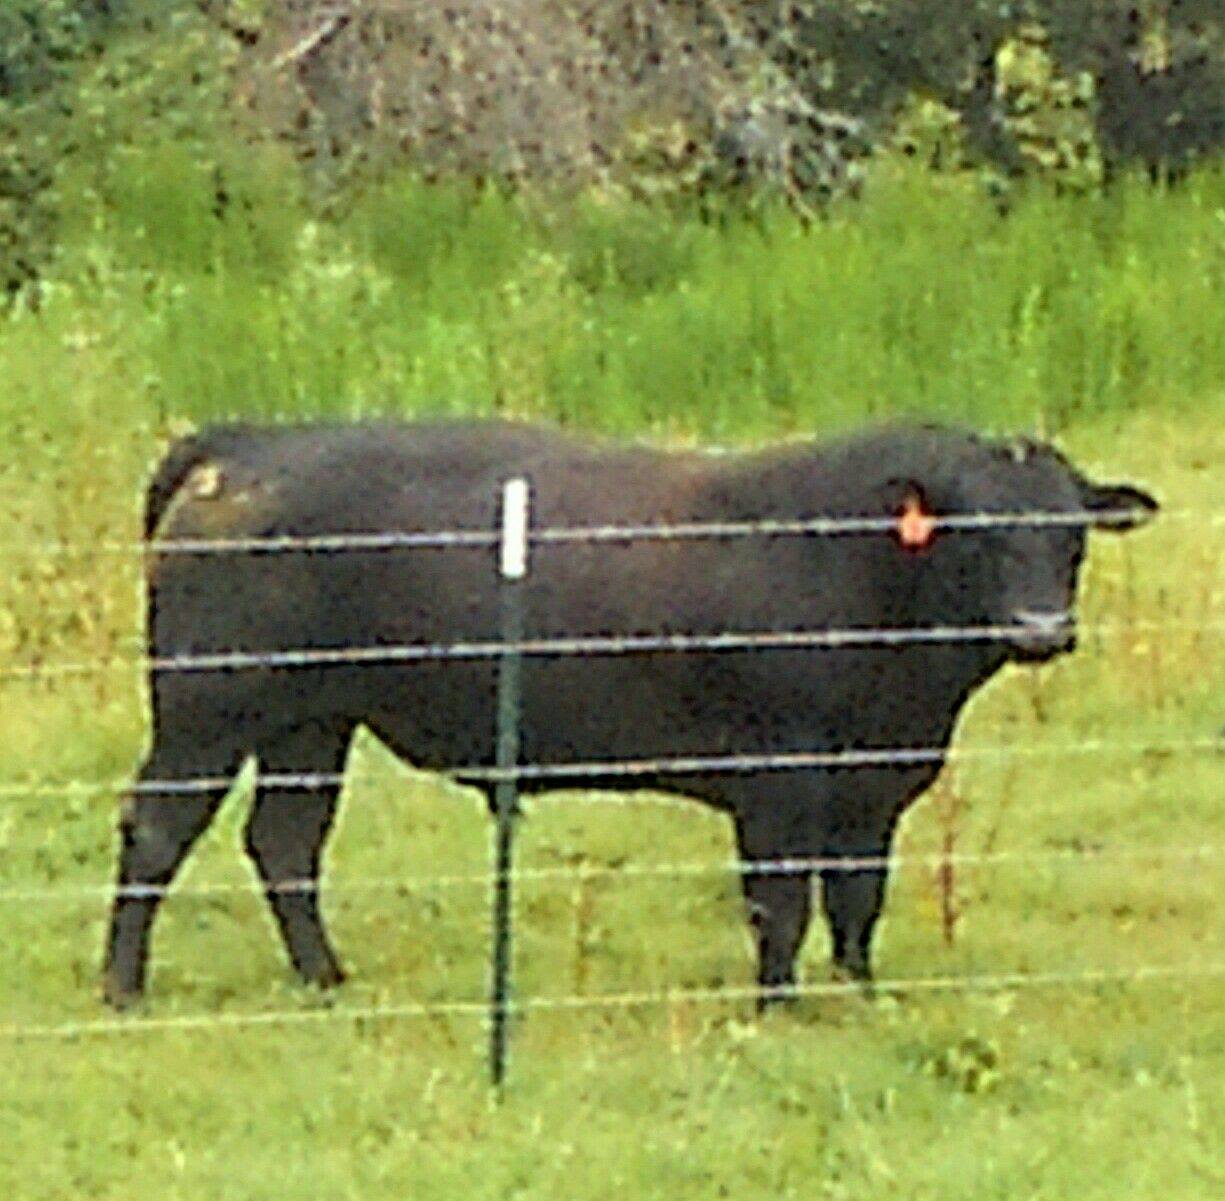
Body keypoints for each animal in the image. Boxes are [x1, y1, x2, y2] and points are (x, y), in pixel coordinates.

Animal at [102, 421, 1158, 1008]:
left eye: (1069, 534)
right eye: (977, 531)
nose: (1040, 628)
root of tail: (255, 440)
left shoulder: (874, 788)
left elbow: (856, 900)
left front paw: (860, 996)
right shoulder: (775, 785)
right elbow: (780, 905)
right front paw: (778, 1008)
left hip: (312, 720)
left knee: (285, 842)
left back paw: (326, 979)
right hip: (210, 708)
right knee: (157, 829)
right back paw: (122, 988)